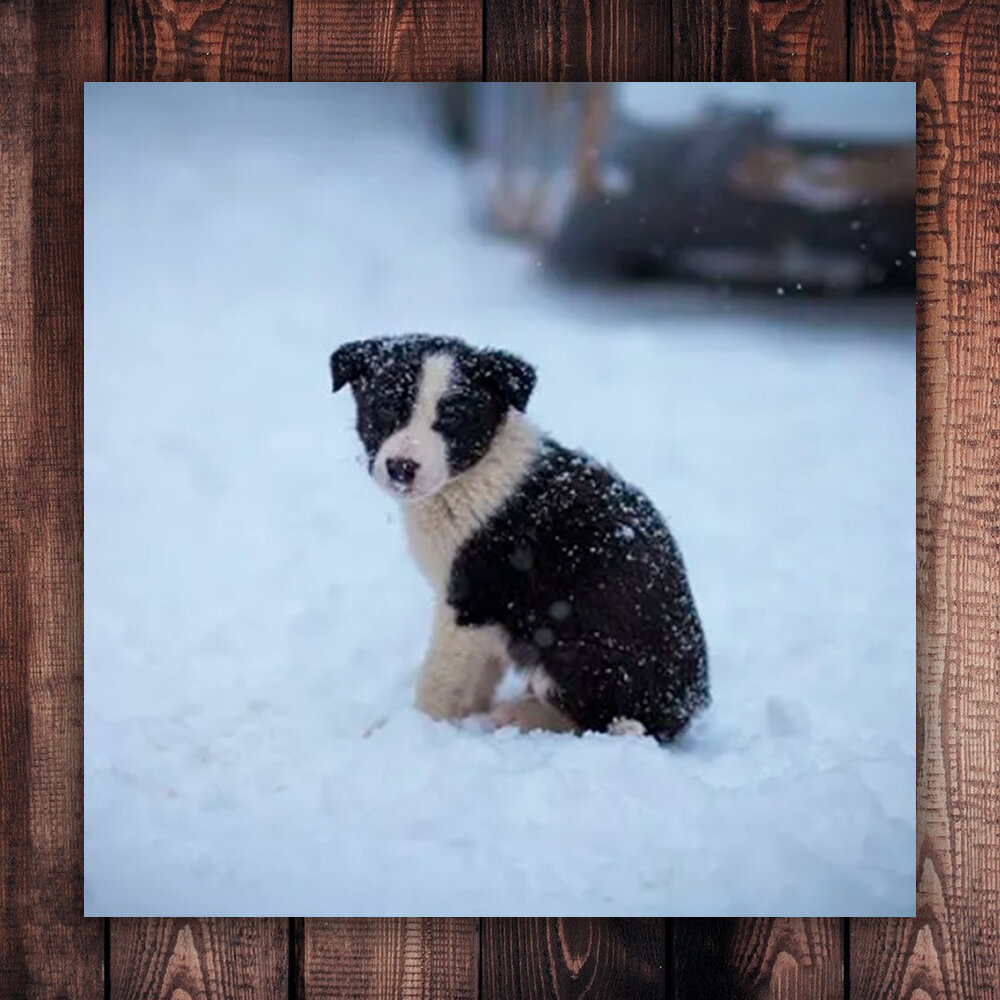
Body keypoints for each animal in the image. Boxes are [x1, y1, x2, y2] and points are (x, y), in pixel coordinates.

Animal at [332, 336, 708, 744]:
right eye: (386, 407)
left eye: (453, 417)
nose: (401, 467)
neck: (473, 475)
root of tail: (682, 713)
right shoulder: (486, 621)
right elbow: (478, 674)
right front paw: (465, 715)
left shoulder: (470, 602)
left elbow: (438, 679)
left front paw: (411, 728)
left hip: (570, 652)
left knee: (600, 722)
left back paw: (520, 716)